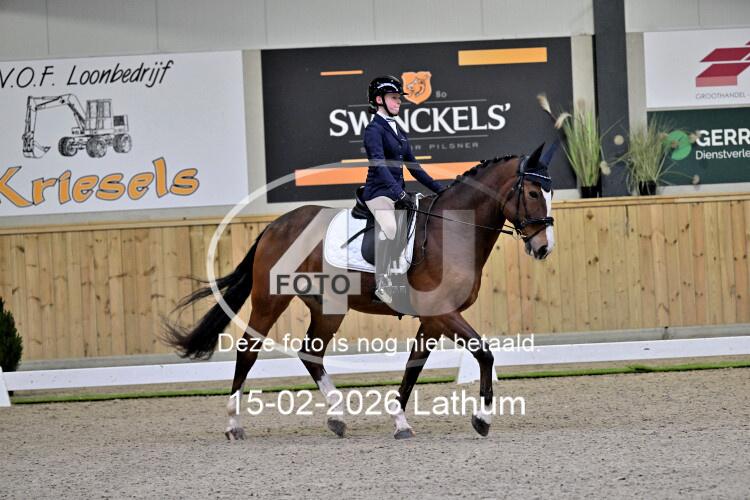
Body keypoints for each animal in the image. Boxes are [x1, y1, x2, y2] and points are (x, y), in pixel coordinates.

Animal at [163, 143, 555, 440]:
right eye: (533, 192)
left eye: (549, 193)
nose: (543, 248)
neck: (453, 229)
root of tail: (276, 226)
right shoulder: (444, 312)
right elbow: (484, 354)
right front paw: (482, 419)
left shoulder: (433, 319)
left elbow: (414, 366)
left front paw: (400, 422)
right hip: (269, 301)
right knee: (248, 351)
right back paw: (234, 425)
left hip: (328, 309)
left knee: (310, 353)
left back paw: (336, 418)